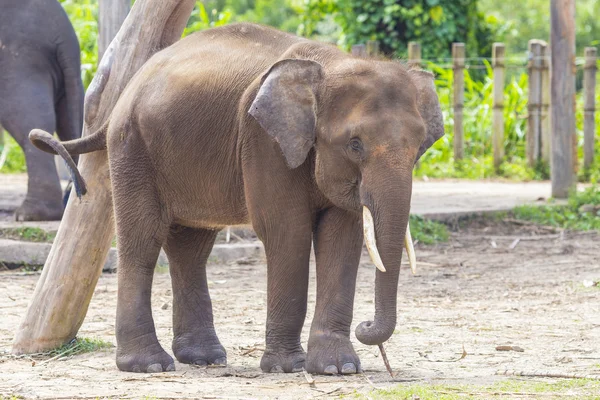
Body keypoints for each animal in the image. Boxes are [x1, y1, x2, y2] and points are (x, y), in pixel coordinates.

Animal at [0, 0, 84, 219]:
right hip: (69, 77)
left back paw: (29, 215)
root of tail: (65, 38)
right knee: (70, 118)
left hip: (20, 62)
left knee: (28, 119)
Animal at [31, 23, 446, 376]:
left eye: (419, 147)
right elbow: (287, 233)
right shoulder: (263, 141)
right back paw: (150, 365)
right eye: (355, 144)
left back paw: (204, 358)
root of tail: (127, 88)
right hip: (132, 147)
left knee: (191, 247)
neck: (327, 65)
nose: (366, 325)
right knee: (143, 243)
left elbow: (342, 238)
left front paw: (338, 369)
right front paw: (289, 367)